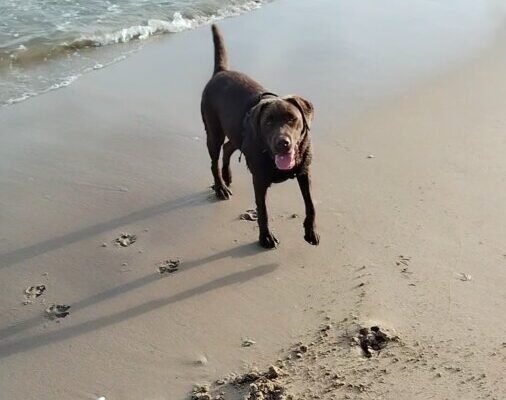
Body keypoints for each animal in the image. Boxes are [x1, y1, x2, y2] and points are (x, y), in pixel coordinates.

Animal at [200, 23, 318, 248]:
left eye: (292, 119)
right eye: (268, 122)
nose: (283, 143)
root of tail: (221, 72)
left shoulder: (304, 172)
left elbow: (311, 204)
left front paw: (311, 231)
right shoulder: (259, 180)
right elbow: (262, 211)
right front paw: (266, 237)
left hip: (237, 133)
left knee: (229, 147)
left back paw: (227, 176)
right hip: (214, 131)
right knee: (214, 159)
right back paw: (220, 187)